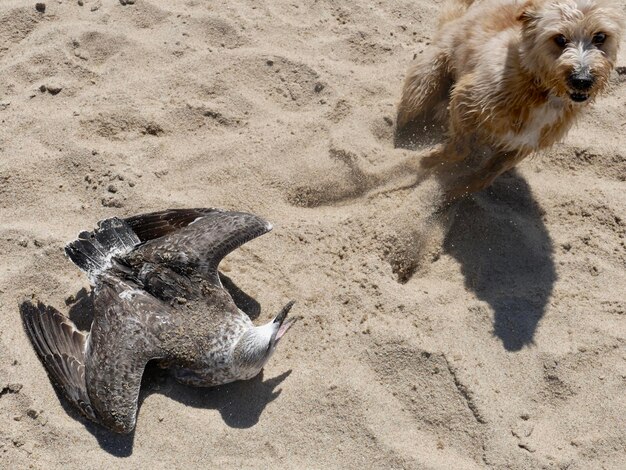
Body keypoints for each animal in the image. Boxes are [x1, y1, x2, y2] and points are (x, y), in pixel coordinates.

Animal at [398, 0, 620, 200]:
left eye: (600, 36)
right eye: (559, 39)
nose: (583, 80)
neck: (540, 88)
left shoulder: (521, 146)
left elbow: (484, 178)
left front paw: (450, 196)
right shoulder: (465, 99)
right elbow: (459, 149)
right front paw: (421, 161)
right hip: (422, 87)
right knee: (404, 123)